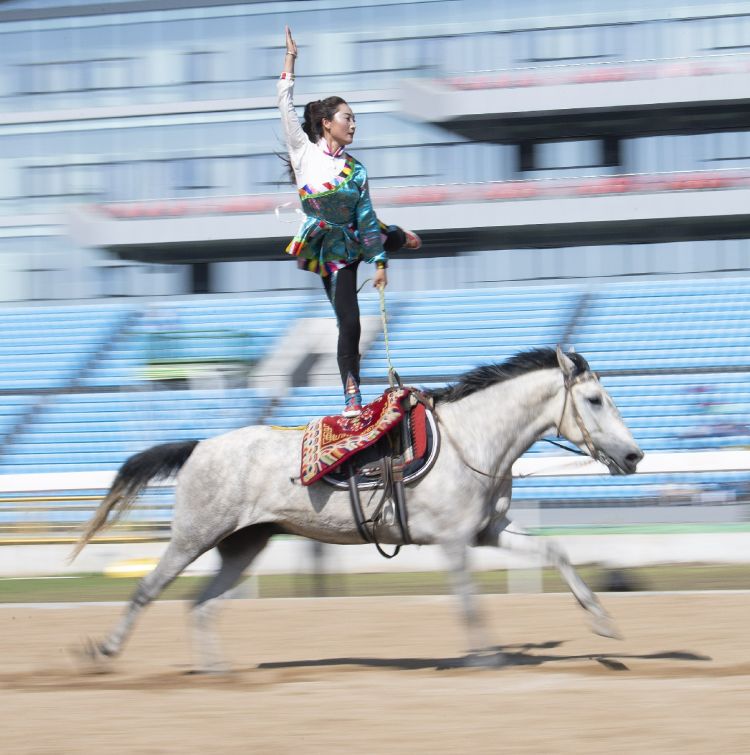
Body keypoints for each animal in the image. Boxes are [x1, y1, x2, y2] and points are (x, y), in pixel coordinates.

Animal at [73, 346, 644, 672]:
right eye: (595, 400)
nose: (634, 456)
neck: (473, 439)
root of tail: (198, 447)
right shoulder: (454, 541)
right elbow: (468, 602)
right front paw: (488, 657)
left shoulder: (488, 530)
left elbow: (557, 553)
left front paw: (603, 623)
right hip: (193, 538)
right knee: (148, 590)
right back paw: (103, 653)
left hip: (243, 545)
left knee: (201, 605)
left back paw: (218, 672)